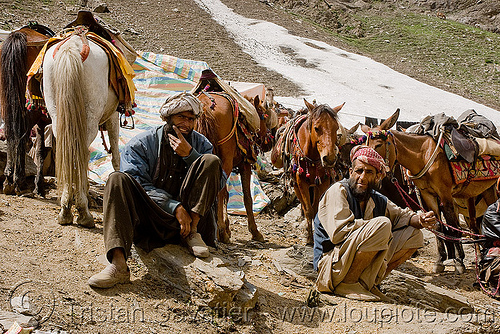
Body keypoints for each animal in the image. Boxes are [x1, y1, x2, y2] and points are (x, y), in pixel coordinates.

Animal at [0, 24, 54, 197]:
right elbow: (42, 150)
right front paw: (39, 186)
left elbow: (40, 150)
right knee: (20, 136)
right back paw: (17, 179)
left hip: (7, 102)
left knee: (12, 133)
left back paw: (9, 179)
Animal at [42, 35, 120, 228]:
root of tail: (71, 47)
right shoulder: (114, 115)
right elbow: (116, 154)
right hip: (90, 118)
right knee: (81, 154)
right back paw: (83, 213)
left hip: (57, 113)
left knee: (67, 152)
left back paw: (65, 210)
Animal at [196, 91, 276, 243]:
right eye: (263, 115)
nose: (270, 142)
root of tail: (204, 105)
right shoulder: (245, 165)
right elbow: (247, 198)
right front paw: (255, 231)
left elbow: (227, 195)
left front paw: (227, 227)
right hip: (225, 162)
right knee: (218, 192)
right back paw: (221, 232)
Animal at [270, 98, 344, 243]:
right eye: (316, 128)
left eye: (336, 128)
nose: (329, 158)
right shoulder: (301, 182)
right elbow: (309, 209)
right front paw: (309, 237)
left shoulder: (322, 183)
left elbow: (315, 210)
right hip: (296, 184)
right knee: (304, 205)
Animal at [362, 109, 498, 274]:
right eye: (364, 144)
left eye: (378, 144)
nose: (365, 162)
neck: (423, 155)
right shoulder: (428, 195)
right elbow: (438, 226)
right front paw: (440, 261)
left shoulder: (445, 194)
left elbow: (453, 228)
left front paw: (459, 261)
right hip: (473, 195)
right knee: (474, 225)